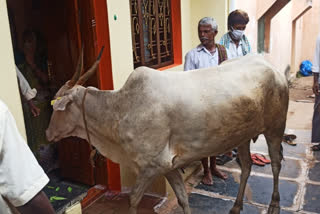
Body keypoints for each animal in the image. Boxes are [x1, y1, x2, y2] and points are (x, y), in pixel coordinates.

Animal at [46, 54, 288, 214]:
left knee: (276, 163)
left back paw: (274, 205)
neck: (120, 109)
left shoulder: (151, 166)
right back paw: (236, 207)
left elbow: (133, 200)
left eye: (56, 109)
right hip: (243, 136)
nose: (48, 134)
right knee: (246, 166)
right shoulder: (170, 166)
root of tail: (273, 68)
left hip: (275, 128)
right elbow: (182, 199)